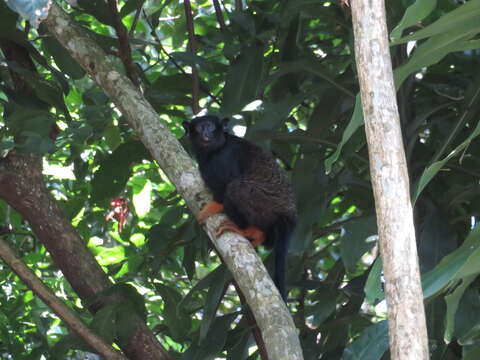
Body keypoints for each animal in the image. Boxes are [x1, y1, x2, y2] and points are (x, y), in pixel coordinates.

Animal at [184, 116, 296, 300]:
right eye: (199, 128)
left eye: (211, 127)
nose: (206, 134)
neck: (213, 152)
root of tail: (290, 214)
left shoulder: (224, 157)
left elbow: (227, 183)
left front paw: (213, 206)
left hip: (266, 205)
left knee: (236, 187)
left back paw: (248, 230)